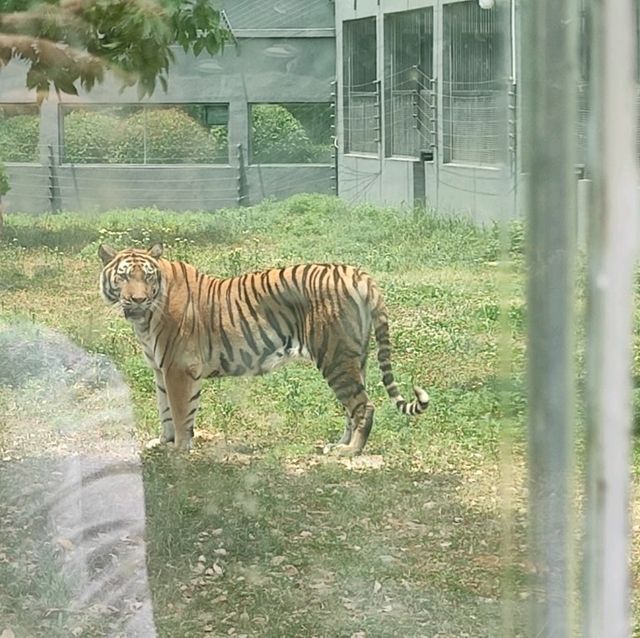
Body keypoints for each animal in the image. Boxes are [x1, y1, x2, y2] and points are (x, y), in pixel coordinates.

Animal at [99, 244, 430, 456]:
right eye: (124, 276)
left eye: (147, 276)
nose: (138, 300)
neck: (146, 319)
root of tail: (358, 274)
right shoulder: (160, 369)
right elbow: (164, 409)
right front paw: (163, 442)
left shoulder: (178, 368)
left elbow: (180, 412)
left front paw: (179, 450)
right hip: (354, 357)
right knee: (352, 407)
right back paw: (337, 445)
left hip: (335, 357)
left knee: (364, 406)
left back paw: (350, 451)